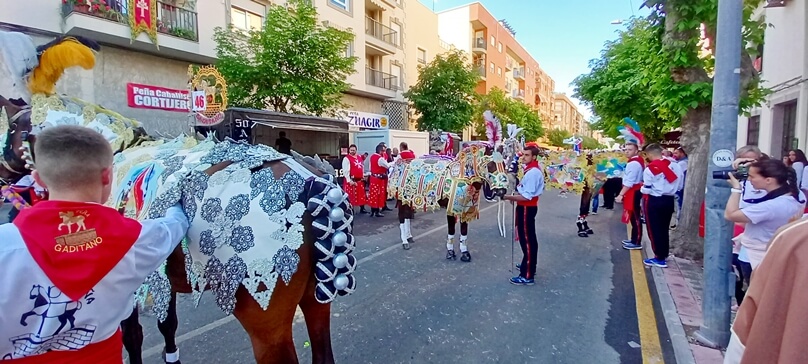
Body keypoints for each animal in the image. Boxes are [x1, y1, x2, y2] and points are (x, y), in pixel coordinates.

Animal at [0, 31, 354, 364]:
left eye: (9, 130)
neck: (119, 151)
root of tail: (309, 179)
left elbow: (133, 334)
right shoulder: (158, 274)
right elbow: (166, 323)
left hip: (266, 319)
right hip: (316, 300)